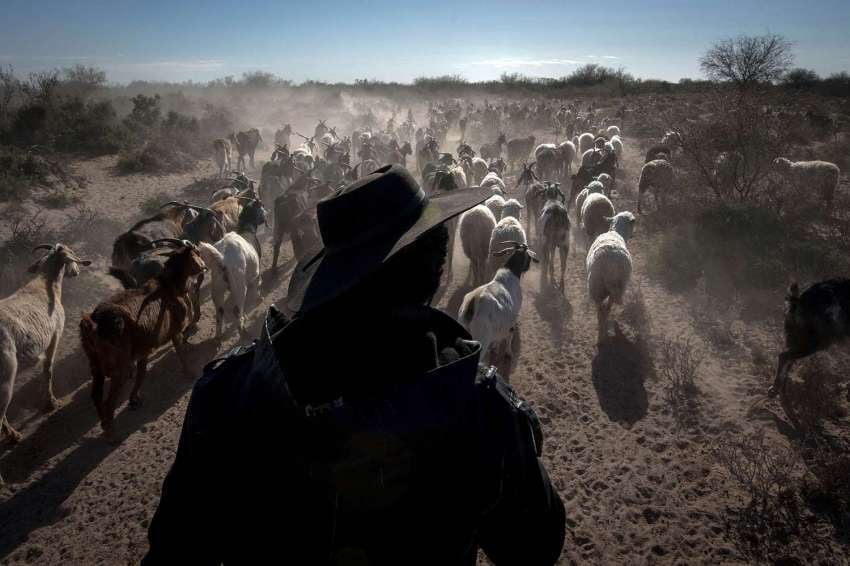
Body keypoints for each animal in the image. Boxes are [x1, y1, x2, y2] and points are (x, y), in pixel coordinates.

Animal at [80, 240, 205, 440]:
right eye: (196, 252)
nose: (203, 267)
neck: (167, 286)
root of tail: (93, 324)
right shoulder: (174, 331)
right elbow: (181, 353)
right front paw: (191, 373)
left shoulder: (144, 348)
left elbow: (142, 373)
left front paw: (134, 399)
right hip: (119, 367)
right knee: (108, 402)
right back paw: (112, 435)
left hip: (95, 365)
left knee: (96, 395)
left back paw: (104, 424)